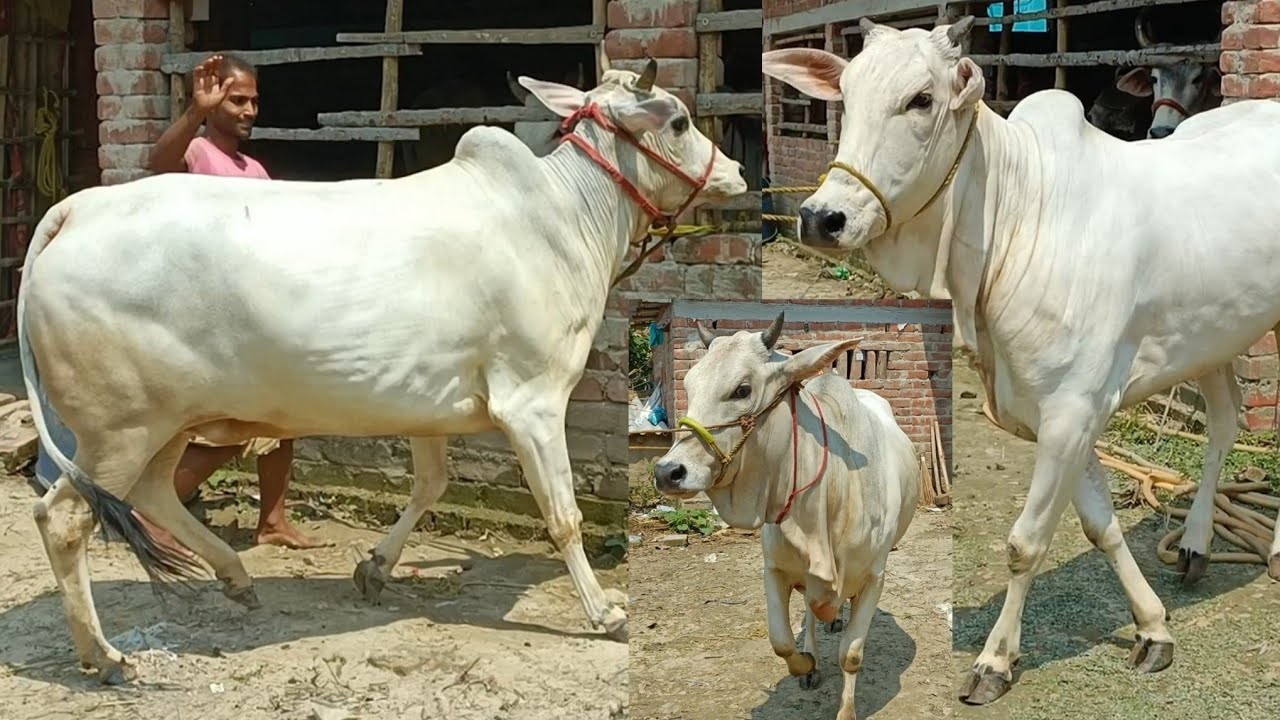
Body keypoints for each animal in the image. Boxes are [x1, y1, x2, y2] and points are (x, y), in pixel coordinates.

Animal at [19, 60, 747, 684]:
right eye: (679, 122)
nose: (737, 171)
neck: (567, 217)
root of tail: (76, 209)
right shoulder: (533, 403)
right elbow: (562, 514)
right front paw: (604, 612)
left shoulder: (429, 406)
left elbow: (431, 485)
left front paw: (375, 569)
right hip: (122, 427)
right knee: (64, 519)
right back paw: (105, 655)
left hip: (166, 419)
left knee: (152, 491)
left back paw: (234, 576)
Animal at [651, 313, 918, 720]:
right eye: (689, 384)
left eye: (742, 390)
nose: (668, 471)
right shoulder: (775, 569)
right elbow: (781, 640)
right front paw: (806, 664)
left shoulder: (875, 576)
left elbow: (851, 655)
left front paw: (846, 710)